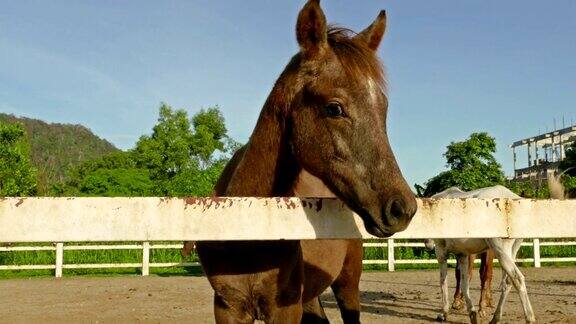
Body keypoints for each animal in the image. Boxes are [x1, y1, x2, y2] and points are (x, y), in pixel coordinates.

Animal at [196, 1, 416, 322]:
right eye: (334, 108)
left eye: (383, 109)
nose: (402, 208)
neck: (247, 231)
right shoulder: (227, 308)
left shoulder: (285, 308)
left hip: (347, 286)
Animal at [426, 185, 536, 324]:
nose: (428, 244)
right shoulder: (462, 255)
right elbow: (464, 282)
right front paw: (472, 312)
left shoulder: (441, 253)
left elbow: (443, 281)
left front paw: (444, 313)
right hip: (511, 252)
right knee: (508, 282)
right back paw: (495, 318)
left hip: (500, 251)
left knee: (517, 278)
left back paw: (529, 318)